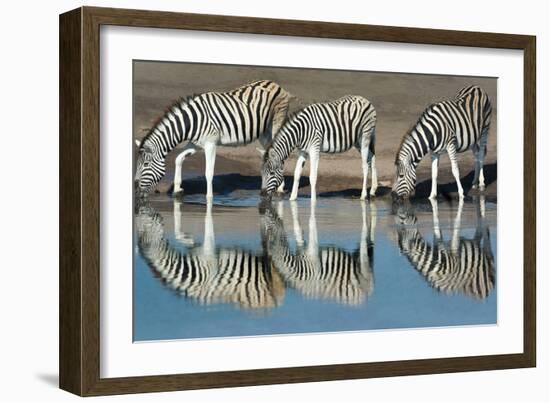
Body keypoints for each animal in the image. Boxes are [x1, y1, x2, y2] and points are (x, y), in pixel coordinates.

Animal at [135, 79, 294, 199]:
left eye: (146, 164)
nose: (135, 189)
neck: (192, 121)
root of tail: (274, 83)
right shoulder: (196, 143)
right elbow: (178, 158)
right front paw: (177, 189)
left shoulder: (211, 144)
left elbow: (209, 172)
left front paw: (209, 198)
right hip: (264, 132)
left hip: (276, 123)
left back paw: (280, 189)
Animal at [135, 201, 284, 310]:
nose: (142, 208)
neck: (190, 271)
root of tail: (276, 302)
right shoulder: (196, 250)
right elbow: (185, 239)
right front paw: (186, 238)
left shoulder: (209, 255)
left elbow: (208, 228)